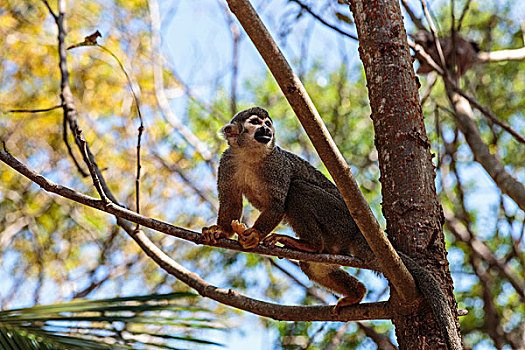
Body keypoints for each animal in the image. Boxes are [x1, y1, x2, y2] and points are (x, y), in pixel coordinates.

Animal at [203, 108, 460, 348]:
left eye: (267, 124)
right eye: (256, 122)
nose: (266, 130)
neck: (251, 154)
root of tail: (360, 232)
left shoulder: (277, 164)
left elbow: (277, 204)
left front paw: (253, 235)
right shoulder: (227, 161)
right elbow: (230, 200)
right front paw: (221, 231)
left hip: (338, 220)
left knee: (297, 189)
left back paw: (310, 245)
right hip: (336, 239)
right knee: (314, 265)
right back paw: (355, 291)